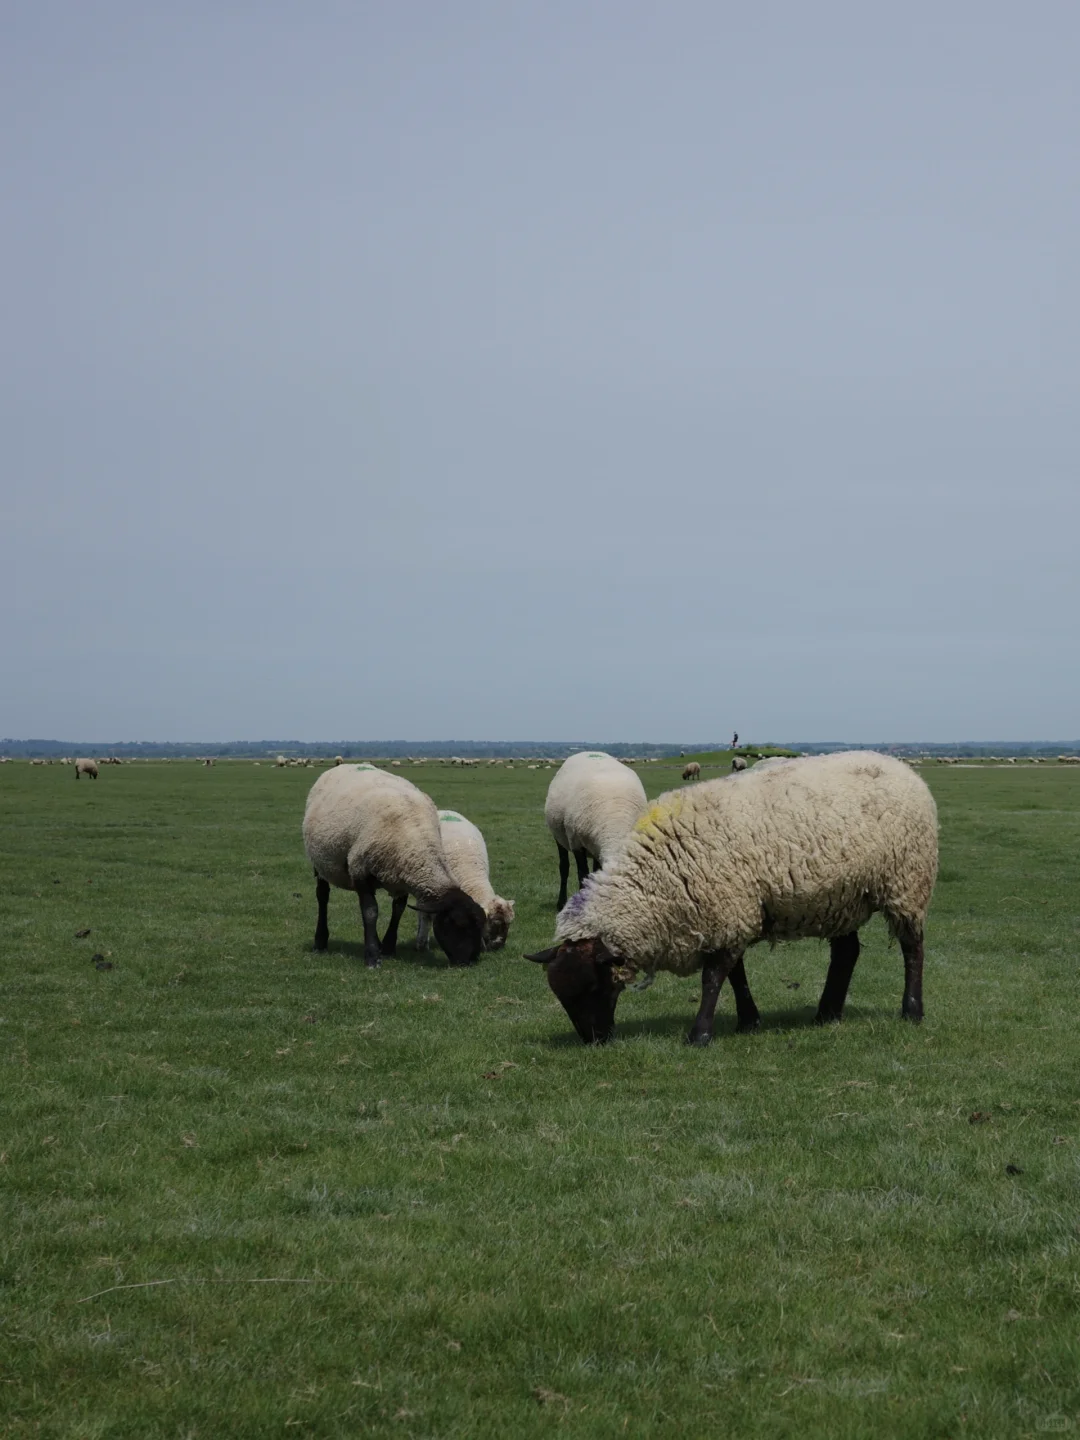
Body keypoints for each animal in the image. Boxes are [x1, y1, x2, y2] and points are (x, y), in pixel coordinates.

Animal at [302, 764, 486, 968]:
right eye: (458, 924)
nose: (470, 962)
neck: (417, 839)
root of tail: (342, 766)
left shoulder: (401, 873)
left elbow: (398, 910)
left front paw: (388, 948)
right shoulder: (360, 869)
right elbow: (370, 912)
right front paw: (372, 956)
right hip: (320, 863)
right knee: (323, 896)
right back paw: (320, 942)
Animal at [415, 810, 515, 953]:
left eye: (509, 922)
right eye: (495, 923)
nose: (499, 946)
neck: (471, 876)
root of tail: (445, 811)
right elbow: (426, 916)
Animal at [544, 751, 648, 911]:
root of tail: (585, 752)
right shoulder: (576, 843)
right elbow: (582, 875)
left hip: (595, 847)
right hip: (560, 837)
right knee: (564, 867)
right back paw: (561, 903)